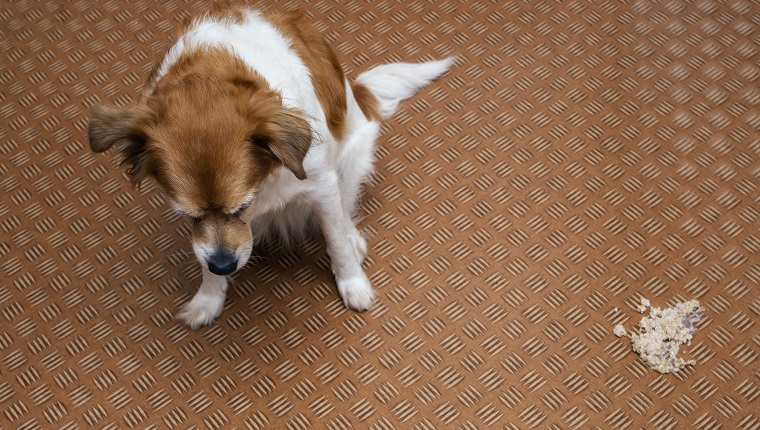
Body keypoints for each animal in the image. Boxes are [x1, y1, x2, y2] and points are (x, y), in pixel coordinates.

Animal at [88, 3, 452, 330]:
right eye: (189, 215)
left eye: (242, 207)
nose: (224, 266)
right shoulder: (204, 236)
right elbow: (202, 254)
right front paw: (208, 298)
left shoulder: (322, 186)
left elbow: (335, 239)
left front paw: (353, 283)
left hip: (353, 158)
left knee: (346, 208)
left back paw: (354, 239)